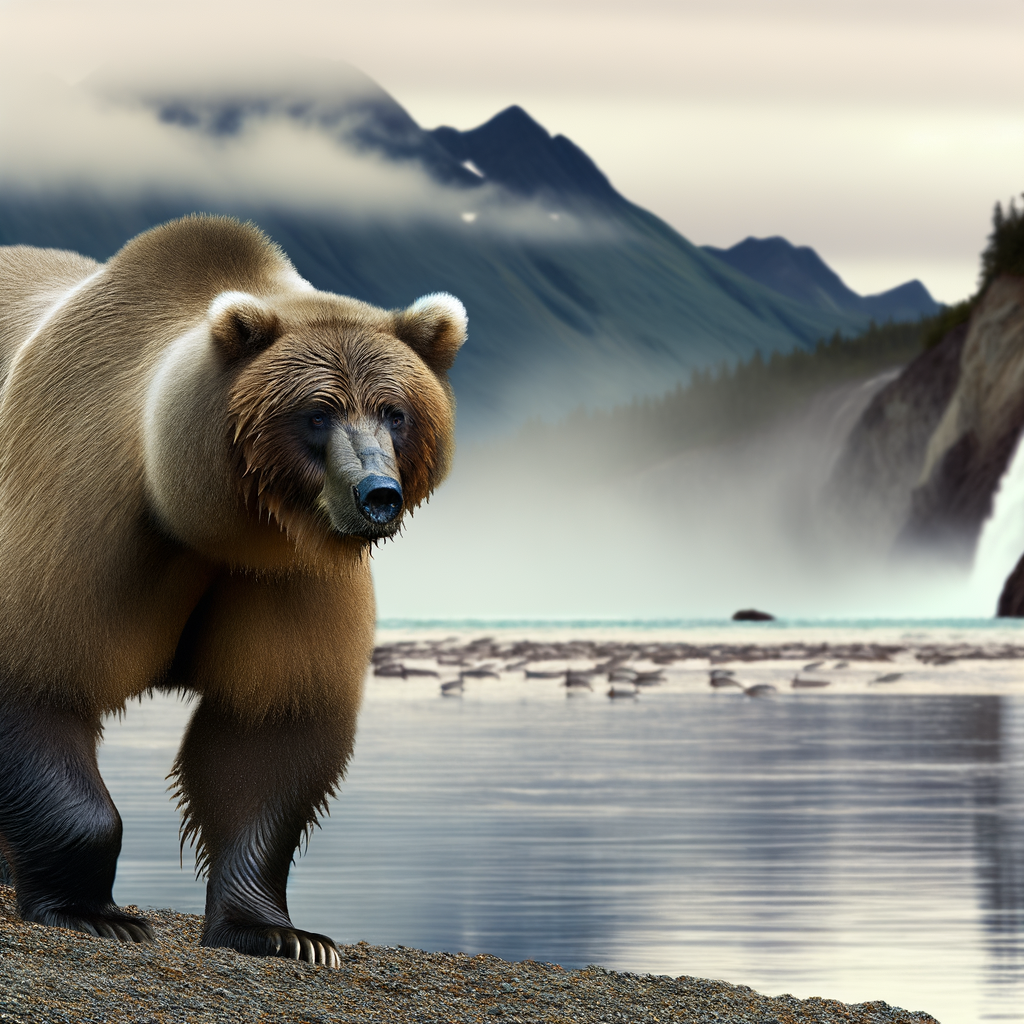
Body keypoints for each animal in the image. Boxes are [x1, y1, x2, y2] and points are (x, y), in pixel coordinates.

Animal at [0, 215, 466, 966]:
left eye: (394, 411)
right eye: (317, 413)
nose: (377, 495)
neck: (201, 518)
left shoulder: (285, 575)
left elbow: (269, 732)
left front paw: (282, 933)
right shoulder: (80, 521)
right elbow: (40, 681)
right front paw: (95, 913)